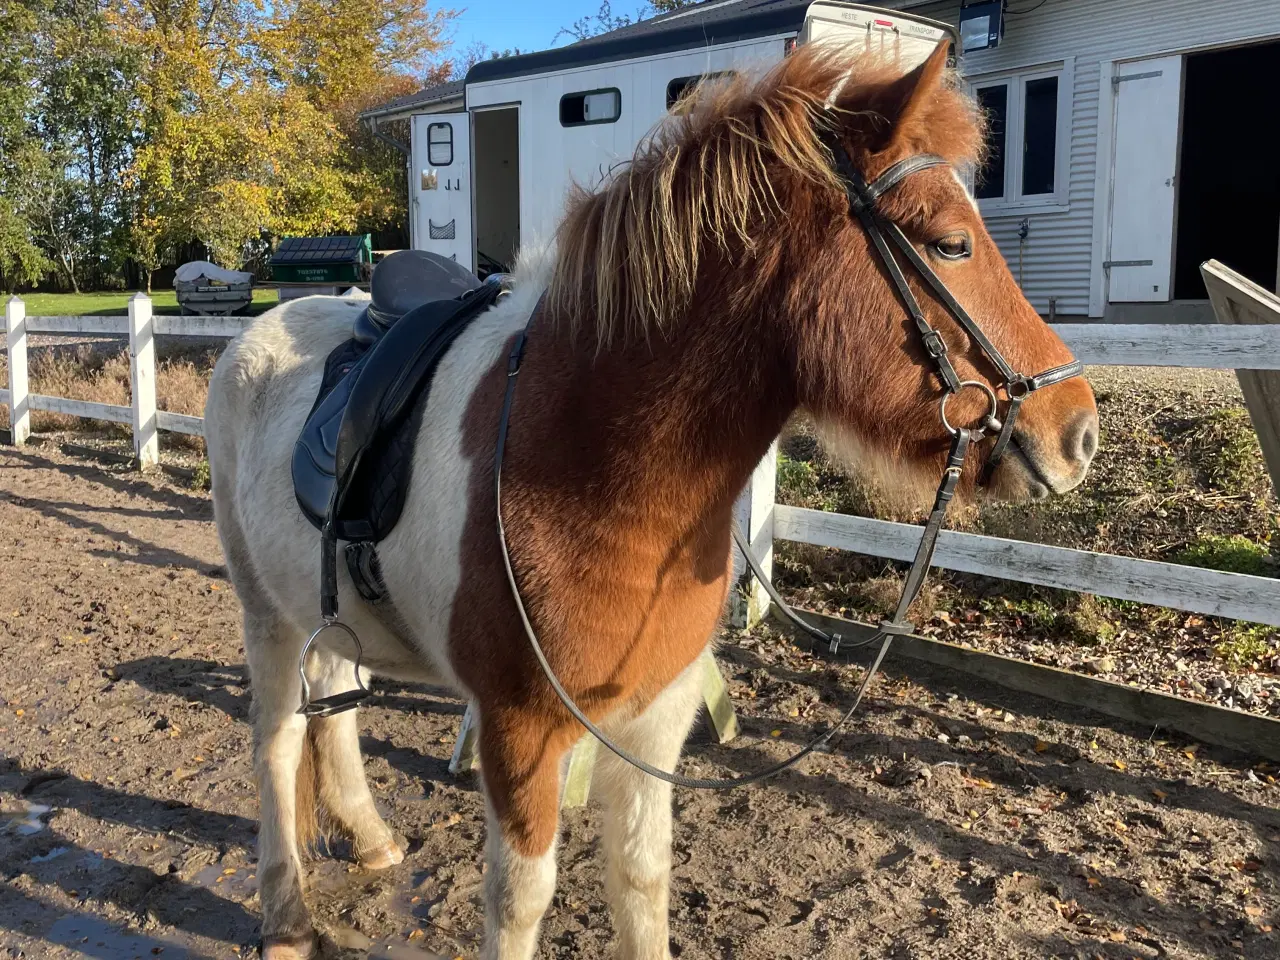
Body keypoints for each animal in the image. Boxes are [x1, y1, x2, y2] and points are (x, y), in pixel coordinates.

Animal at [202, 43, 1100, 960]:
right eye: (952, 244)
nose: (1079, 432)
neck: (590, 469)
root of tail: (256, 334)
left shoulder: (656, 720)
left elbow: (641, 879)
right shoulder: (520, 732)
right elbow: (521, 900)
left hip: (331, 609)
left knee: (333, 704)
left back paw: (371, 837)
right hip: (263, 613)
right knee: (277, 737)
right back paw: (285, 912)